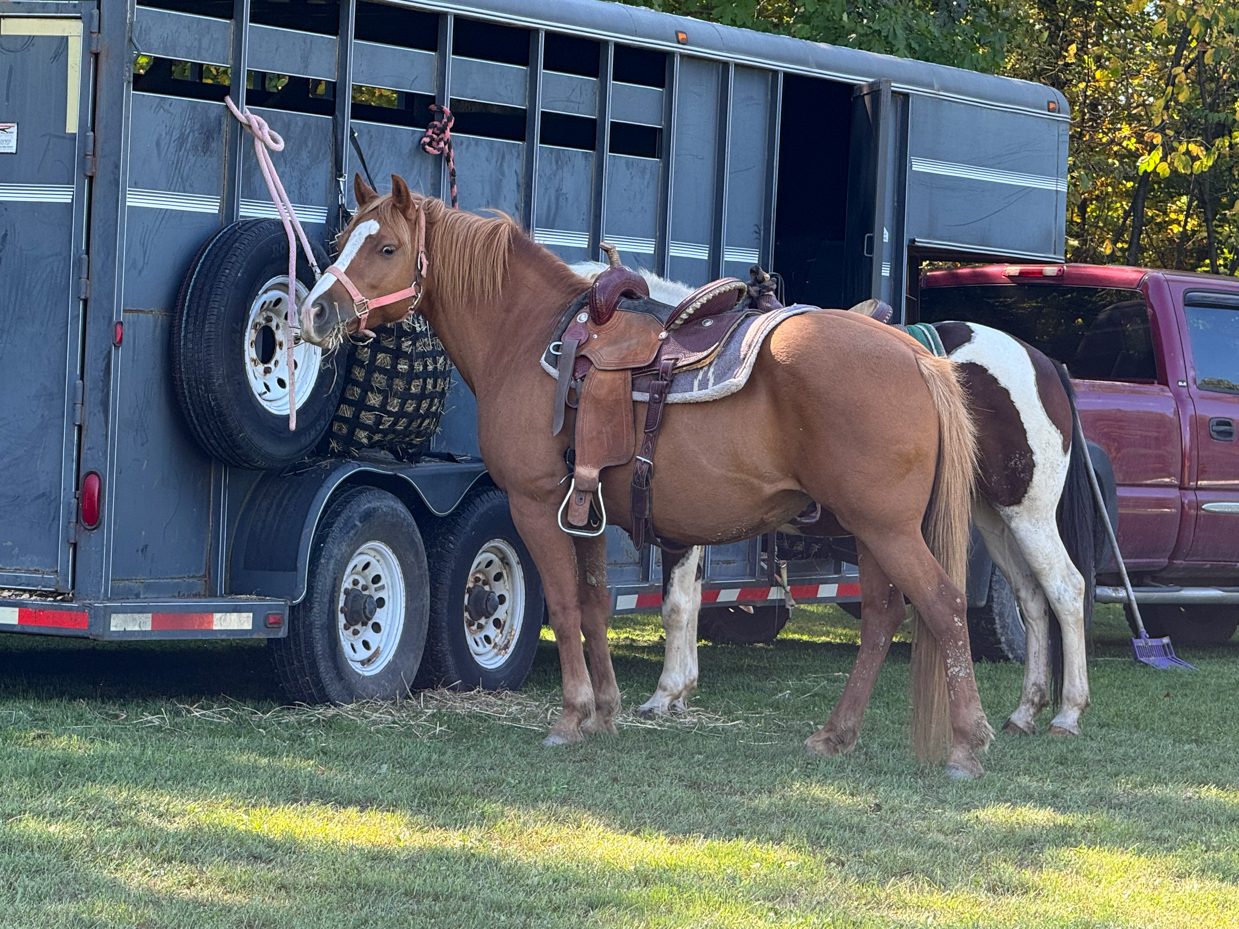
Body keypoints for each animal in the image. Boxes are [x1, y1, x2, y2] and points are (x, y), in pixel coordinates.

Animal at [299, 174, 996, 777]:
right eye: (342, 241)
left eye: (387, 247)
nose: (315, 313)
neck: (530, 337)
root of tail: (915, 356)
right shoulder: (585, 509)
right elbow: (593, 605)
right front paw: (605, 712)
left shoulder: (535, 504)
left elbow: (562, 603)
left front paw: (571, 717)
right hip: (873, 531)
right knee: (882, 615)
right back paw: (837, 734)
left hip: (887, 529)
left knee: (943, 605)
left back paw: (966, 745)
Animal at [569, 263, 1105, 743]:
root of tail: (1043, 361)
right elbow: (690, 601)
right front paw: (678, 692)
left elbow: (676, 605)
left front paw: (664, 695)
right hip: (992, 517)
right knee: (1031, 597)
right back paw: (1026, 711)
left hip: (1028, 512)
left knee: (1065, 589)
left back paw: (1067, 713)